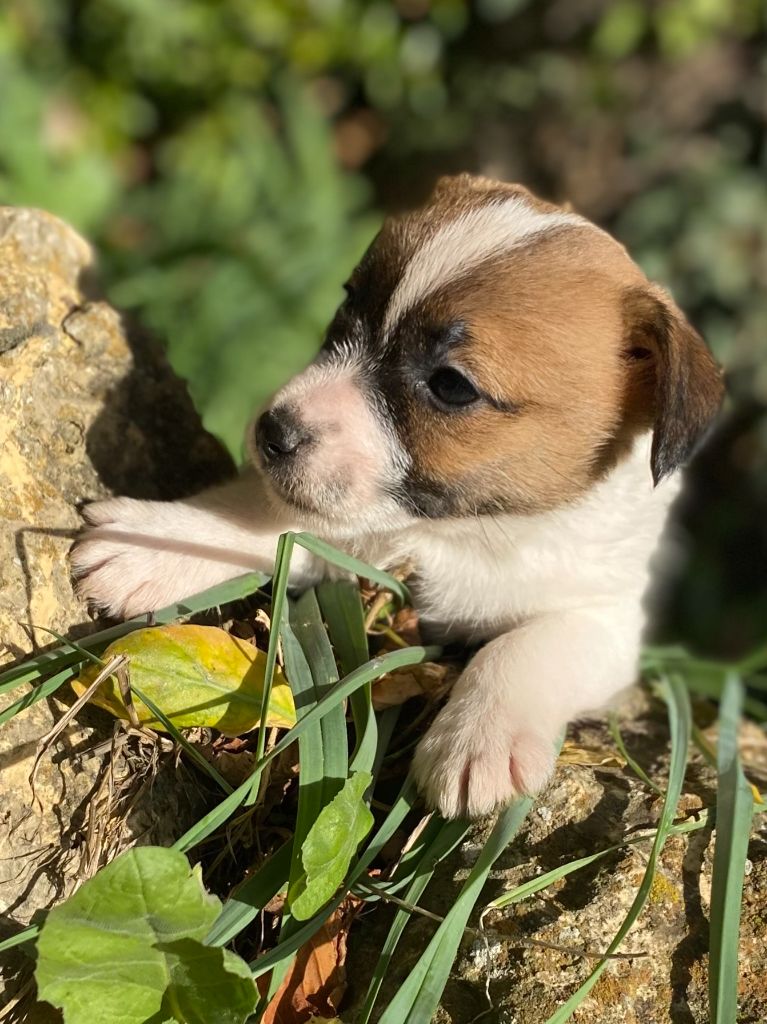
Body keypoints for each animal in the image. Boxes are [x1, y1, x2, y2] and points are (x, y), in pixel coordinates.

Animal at [68, 174, 720, 815]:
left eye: (452, 385)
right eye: (348, 301)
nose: (272, 431)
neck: (469, 528)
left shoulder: (608, 618)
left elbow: (528, 645)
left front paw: (480, 738)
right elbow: (264, 519)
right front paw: (158, 542)